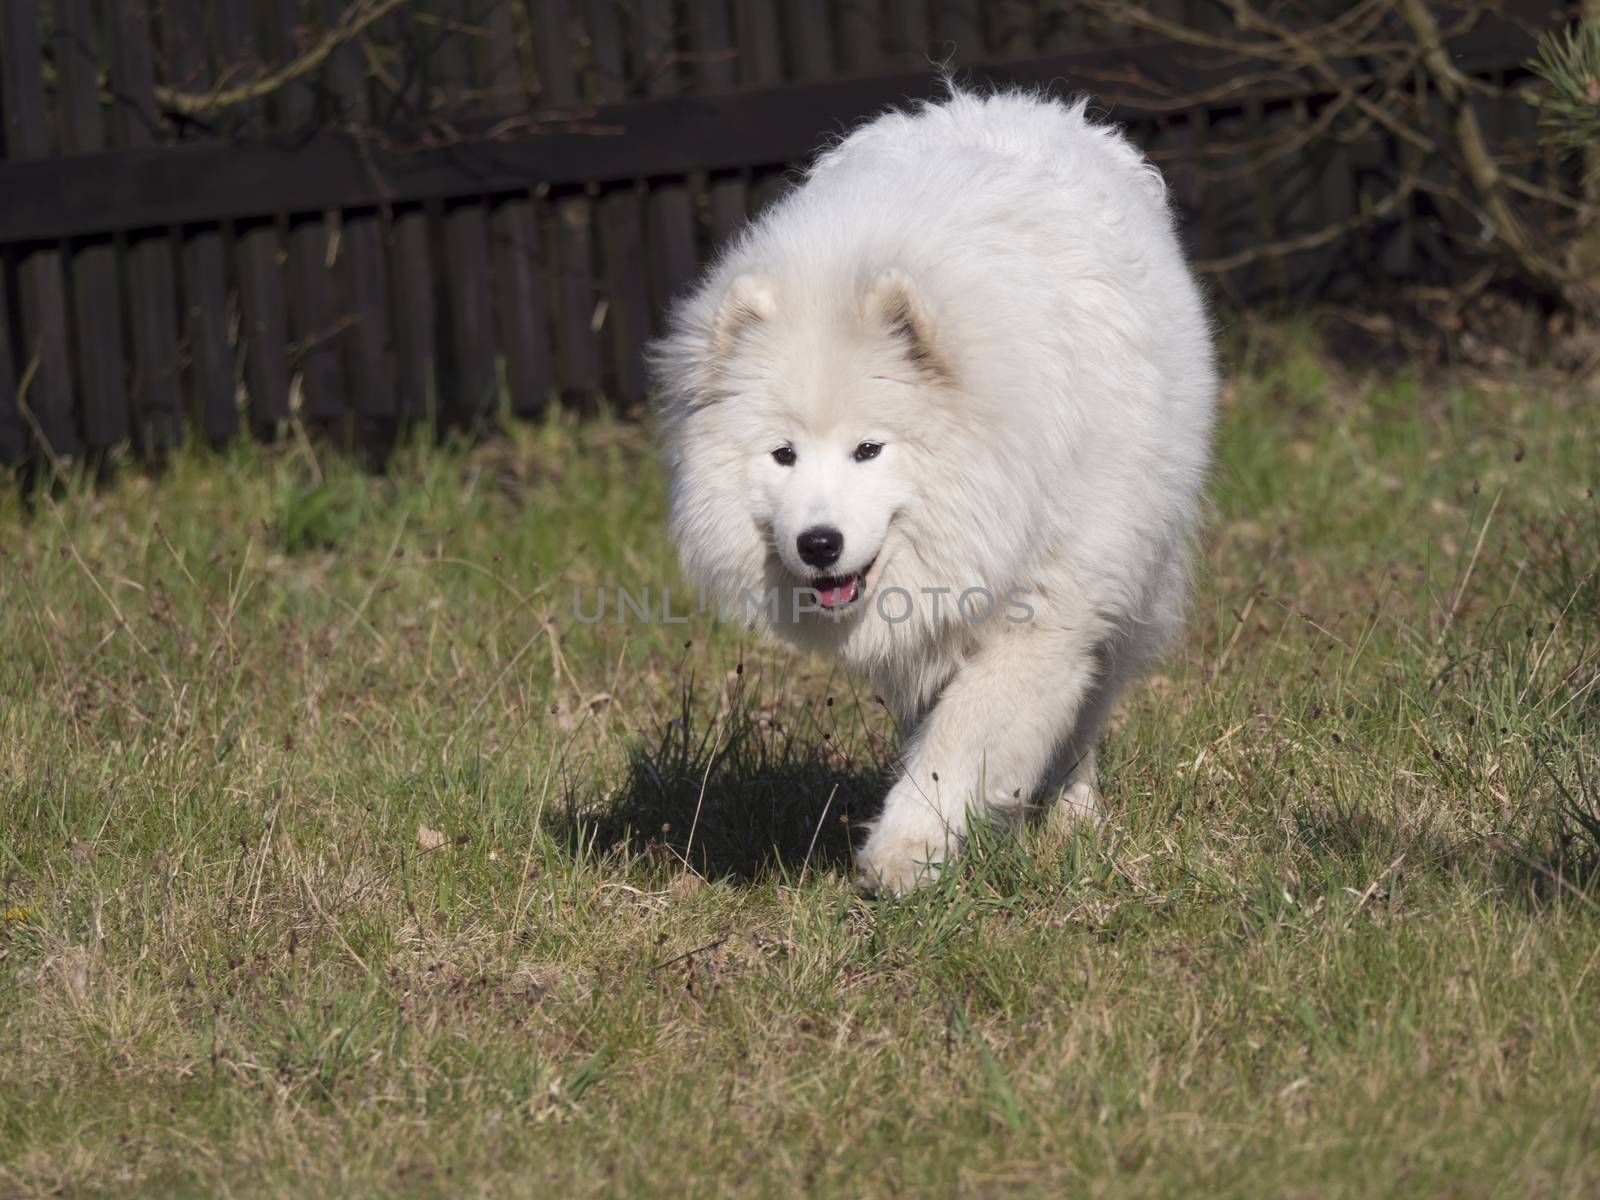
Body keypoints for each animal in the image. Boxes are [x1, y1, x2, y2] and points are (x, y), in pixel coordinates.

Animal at [646, 89, 1209, 896]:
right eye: (783, 455)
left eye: (868, 450)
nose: (819, 544)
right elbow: (935, 728)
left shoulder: (1049, 612)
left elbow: (966, 736)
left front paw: (905, 850)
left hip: (1132, 581)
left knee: (1088, 716)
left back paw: (1072, 816)